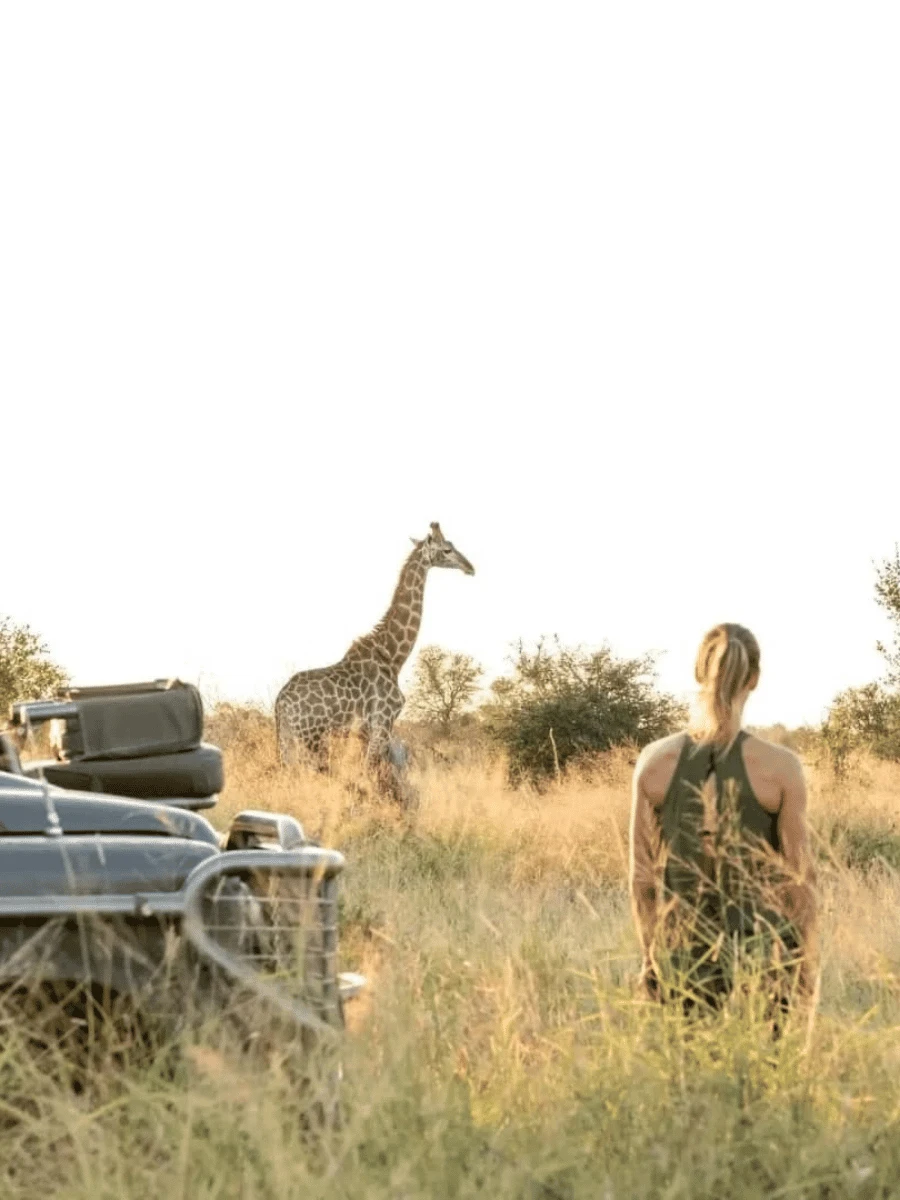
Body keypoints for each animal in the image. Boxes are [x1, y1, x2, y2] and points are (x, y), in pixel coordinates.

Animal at [274, 523, 475, 796]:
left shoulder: (367, 732)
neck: (393, 655)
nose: (470, 567)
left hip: (289, 740)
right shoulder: (382, 723)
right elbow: (372, 777)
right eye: (447, 549)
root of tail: (280, 704)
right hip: (311, 738)